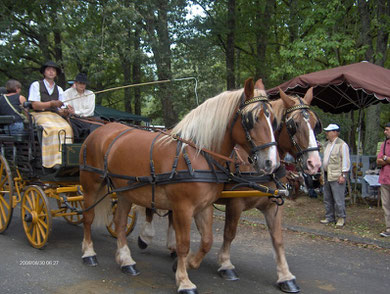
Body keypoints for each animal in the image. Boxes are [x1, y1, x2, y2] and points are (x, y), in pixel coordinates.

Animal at [79, 78, 278, 294]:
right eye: (252, 119)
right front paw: (184, 280)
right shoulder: (183, 208)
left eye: (273, 120)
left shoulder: (204, 206)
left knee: (121, 223)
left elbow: (207, 241)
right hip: (91, 185)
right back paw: (89, 253)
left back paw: (126, 261)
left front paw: (186, 265)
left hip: (124, 192)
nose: (271, 163)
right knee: (88, 217)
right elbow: (184, 244)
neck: (197, 154)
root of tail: (99, 130)